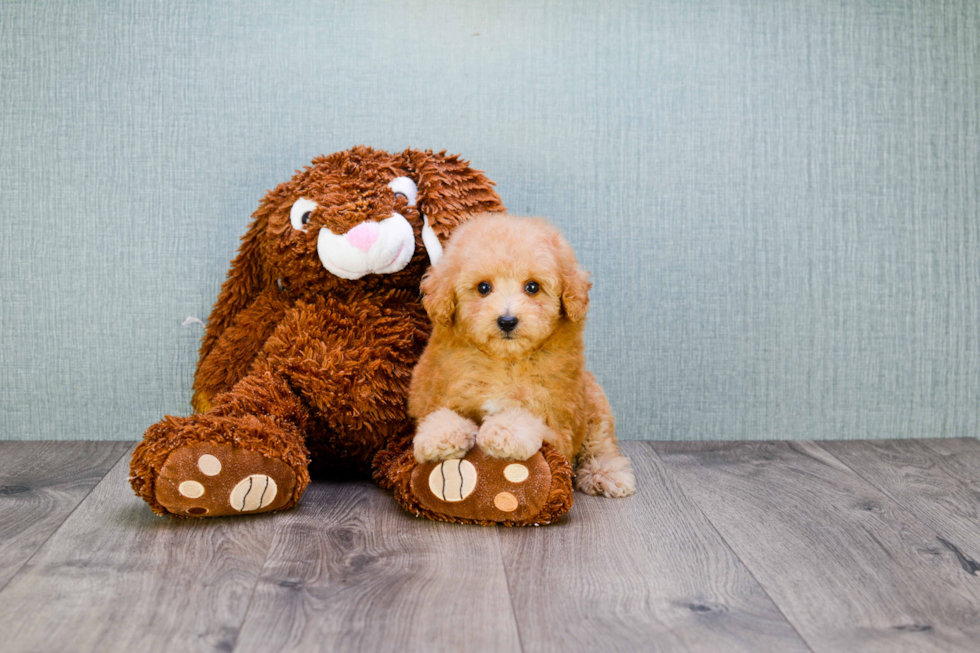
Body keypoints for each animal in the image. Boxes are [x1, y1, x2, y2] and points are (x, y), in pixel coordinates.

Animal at [406, 213, 636, 494]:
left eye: (533, 287)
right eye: (483, 288)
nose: (507, 321)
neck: (505, 361)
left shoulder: (559, 426)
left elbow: (530, 420)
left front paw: (503, 432)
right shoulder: (438, 393)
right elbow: (442, 415)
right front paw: (440, 436)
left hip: (593, 406)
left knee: (601, 445)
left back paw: (608, 474)